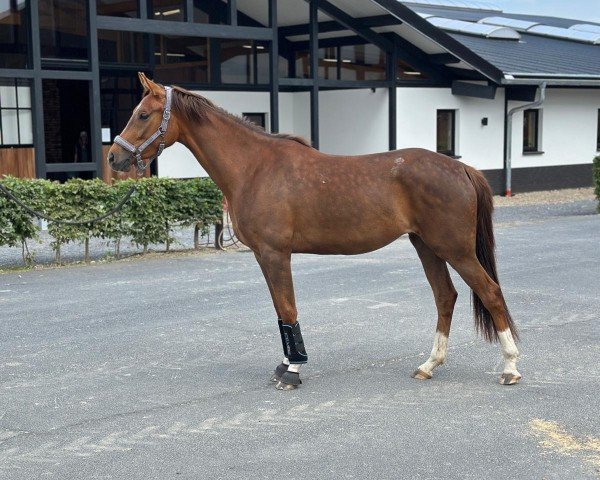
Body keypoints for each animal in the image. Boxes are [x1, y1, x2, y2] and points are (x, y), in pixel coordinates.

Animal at [108, 74, 520, 390]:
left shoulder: (275, 253)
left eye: (142, 114)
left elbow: (288, 307)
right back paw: (428, 365)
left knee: (490, 292)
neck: (254, 167)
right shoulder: (265, 256)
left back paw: (510, 367)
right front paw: (286, 364)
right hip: (427, 246)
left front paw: (292, 371)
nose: (114, 158)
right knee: (445, 296)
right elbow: (281, 310)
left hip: (455, 249)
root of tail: (462, 168)